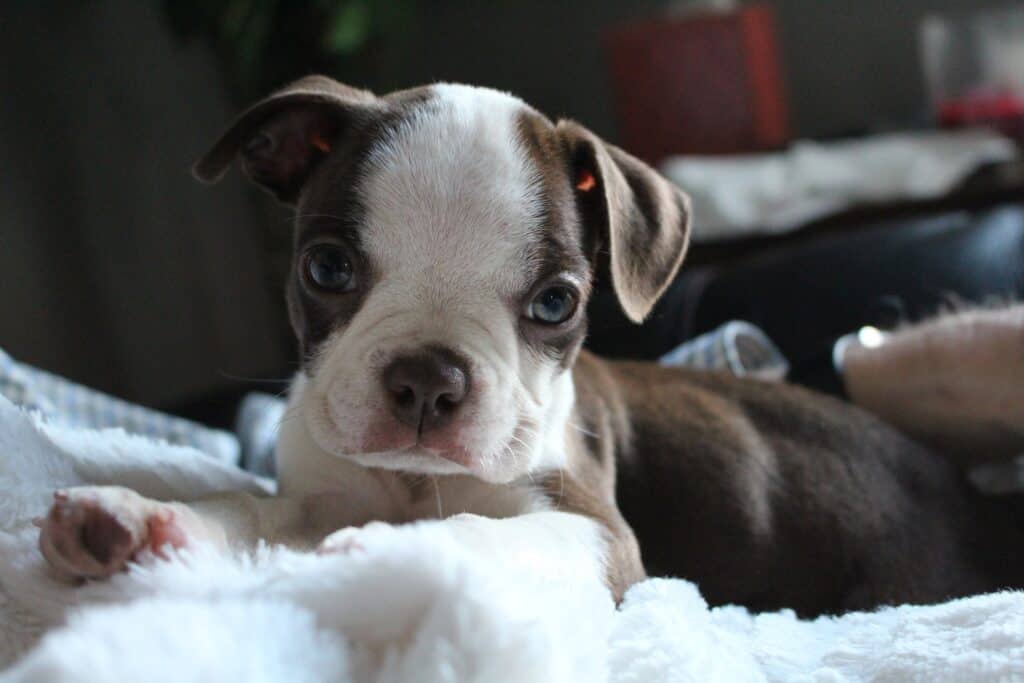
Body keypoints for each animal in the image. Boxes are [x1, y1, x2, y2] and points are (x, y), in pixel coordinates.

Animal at [36, 77, 1024, 618]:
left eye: (556, 302)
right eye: (325, 266)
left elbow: (485, 531)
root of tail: (976, 504)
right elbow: (243, 508)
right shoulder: (317, 494)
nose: (427, 379)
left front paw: (401, 557)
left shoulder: (594, 529)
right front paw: (139, 521)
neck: (412, 483)